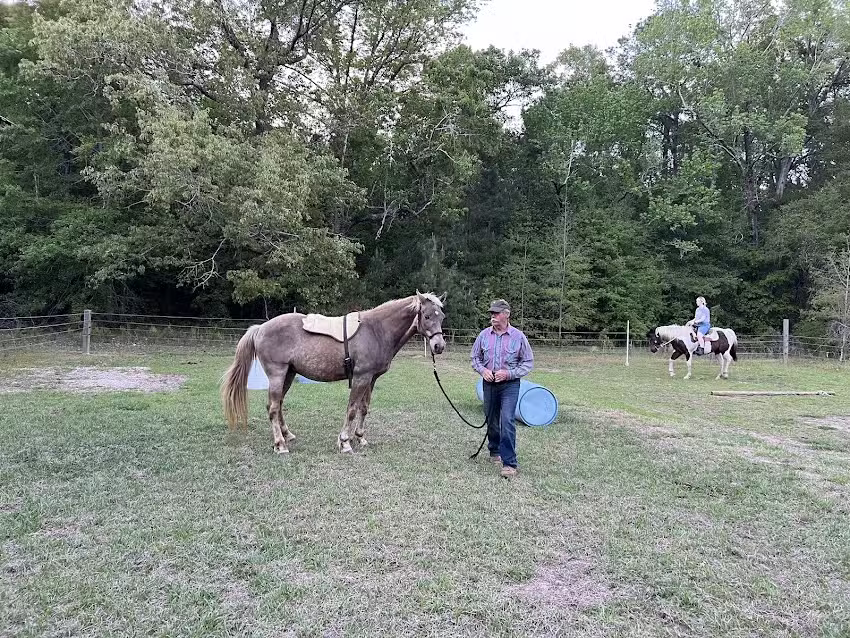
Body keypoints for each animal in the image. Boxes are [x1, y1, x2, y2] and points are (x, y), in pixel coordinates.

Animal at [222, 291, 447, 454]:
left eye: (442, 316)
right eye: (427, 316)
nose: (439, 346)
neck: (376, 330)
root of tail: (260, 328)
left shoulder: (371, 379)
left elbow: (364, 408)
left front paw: (360, 437)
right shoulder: (361, 377)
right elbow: (352, 409)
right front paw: (345, 442)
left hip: (289, 374)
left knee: (276, 405)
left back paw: (287, 435)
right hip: (277, 374)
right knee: (274, 408)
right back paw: (280, 445)